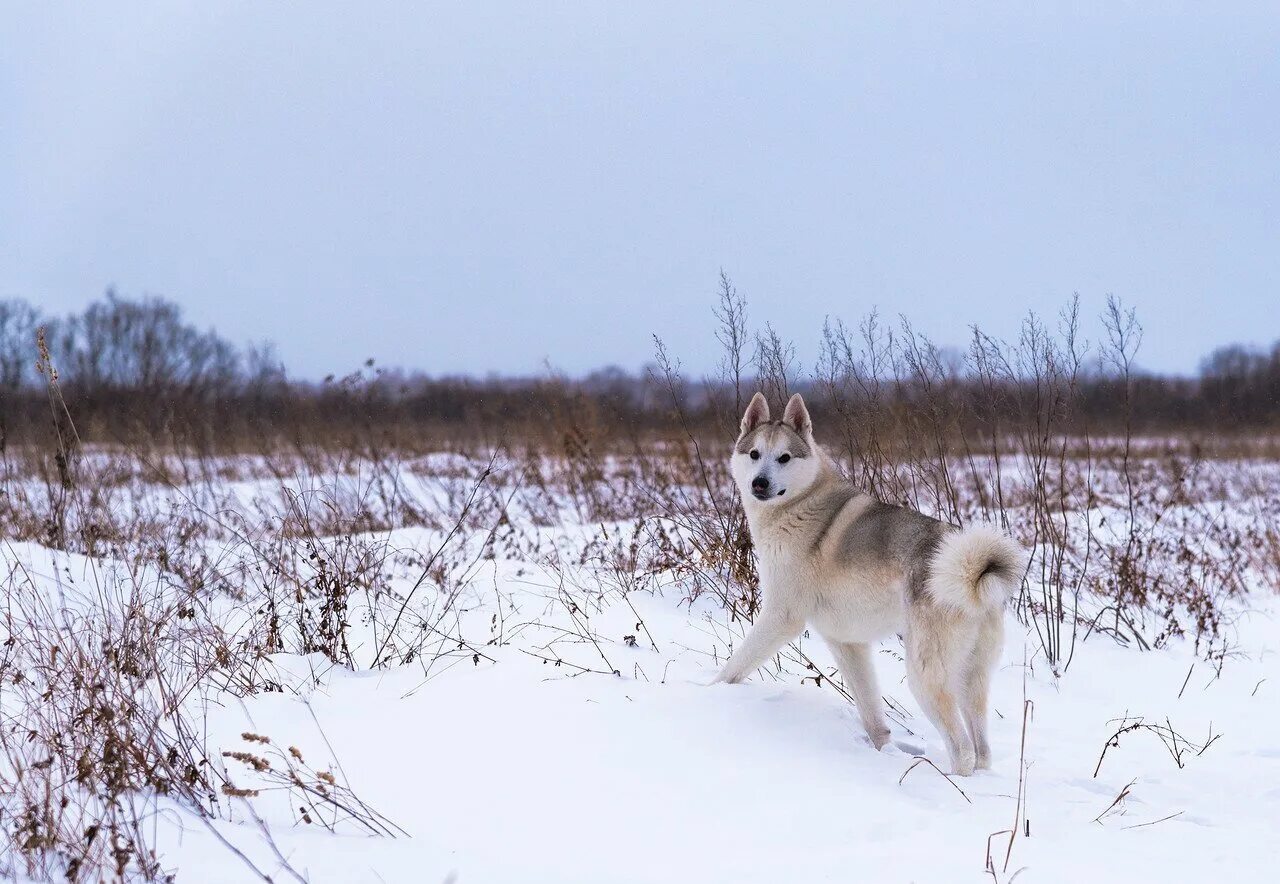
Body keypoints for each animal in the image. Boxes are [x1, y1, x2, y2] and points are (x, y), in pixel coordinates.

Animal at [716, 391, 1024, 772]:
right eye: (755, 454)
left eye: (784, 457)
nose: (759, 483)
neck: (800, 503)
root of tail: (973, 571)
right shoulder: (848, 643)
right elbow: (872, 714)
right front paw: (882, 748)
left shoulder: (781, 617)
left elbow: (734, 667)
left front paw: (707, 692)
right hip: (971, 679)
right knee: (982, 751)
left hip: (925, 676)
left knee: (963, 749)